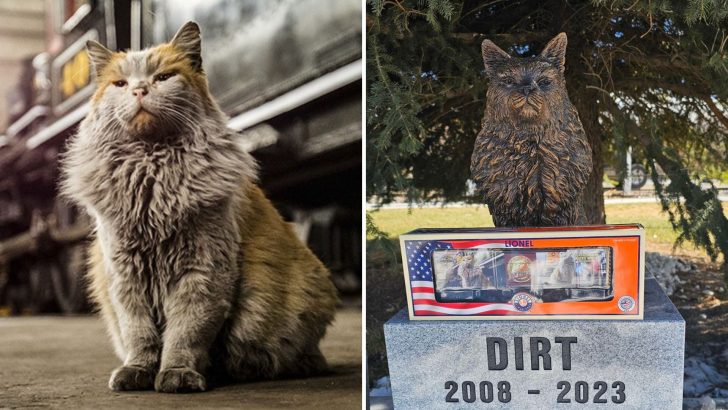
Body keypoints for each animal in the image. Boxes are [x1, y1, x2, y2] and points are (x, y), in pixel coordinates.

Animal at [59, 20, 338, 392]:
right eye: (120, 84)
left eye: (163, 77)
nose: (139, 90)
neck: (152, 174)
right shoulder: (125, 274)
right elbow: (139, 334)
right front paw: (138, 371)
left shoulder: (202, 271)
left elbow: (185, 333)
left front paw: (177, 374)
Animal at [472, 32, 592, 227]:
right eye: (509, 81)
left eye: (544, 81)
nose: (527, 88)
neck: (530, 141)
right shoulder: (504, 208)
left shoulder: (563, 206)